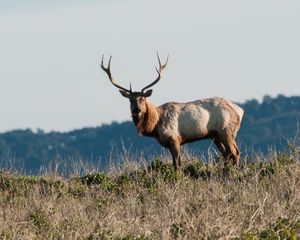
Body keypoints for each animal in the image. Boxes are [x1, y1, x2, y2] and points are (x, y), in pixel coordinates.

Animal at [101, 54, 244, 171]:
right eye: (130, 100)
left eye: (143, 98)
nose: (137, 110)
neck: (155, 126)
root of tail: (239, 110)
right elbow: (176, 163)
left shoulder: (174, 138)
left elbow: (177, 165)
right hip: (216, 135)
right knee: (227, 155)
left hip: (226, 130)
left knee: (235, 153)